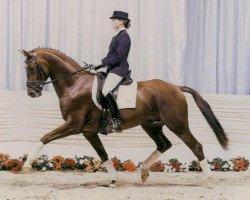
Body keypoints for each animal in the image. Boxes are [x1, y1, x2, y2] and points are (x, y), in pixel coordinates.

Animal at [21, 47, 229, 185]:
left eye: (31, 67)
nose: (31, 93)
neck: (74, 84)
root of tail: (176, 87)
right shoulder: (89, 132)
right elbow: (102, 154)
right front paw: (114, 179)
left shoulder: (74, 125)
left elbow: (45, 137)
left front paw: (26, 165)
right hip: (151, 124)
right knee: (164, 144)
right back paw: (144, 172)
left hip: (176, 124)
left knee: (195, 145)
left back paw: (209, 178)